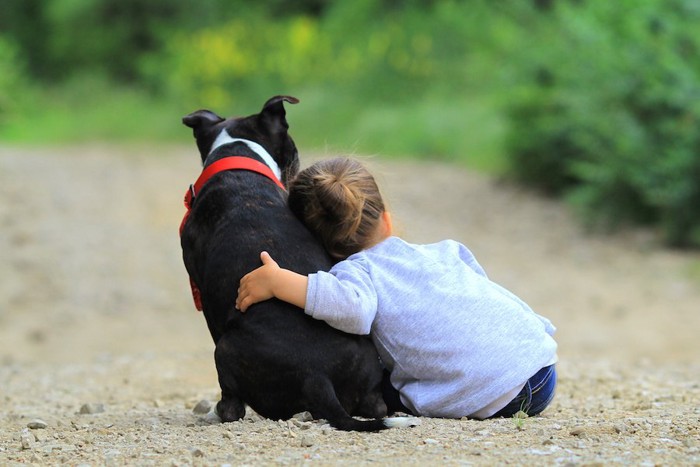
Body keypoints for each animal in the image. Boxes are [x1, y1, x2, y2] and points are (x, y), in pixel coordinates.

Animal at [179, 97, 416, 434]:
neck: (237, 156)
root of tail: (316, 375)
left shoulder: (205, 298)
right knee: (375, 405)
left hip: (223, 350)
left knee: (233, 407)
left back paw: (217, 412)